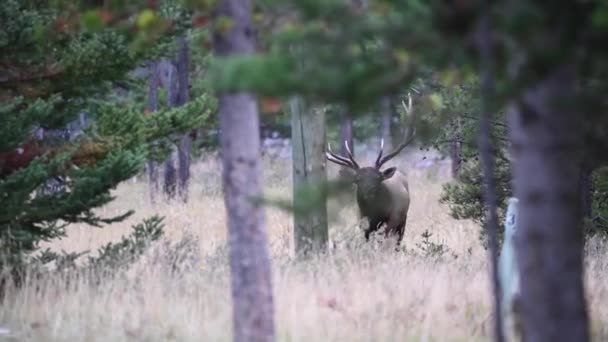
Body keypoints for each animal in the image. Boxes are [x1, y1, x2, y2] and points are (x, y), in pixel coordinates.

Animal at [326, 93, 416, 248]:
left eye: (378, 178)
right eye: (357, 179)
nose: (368, 192)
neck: (375, 214)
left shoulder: (391, 220)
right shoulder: (363, 222)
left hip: (403, 219)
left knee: (398, 241)